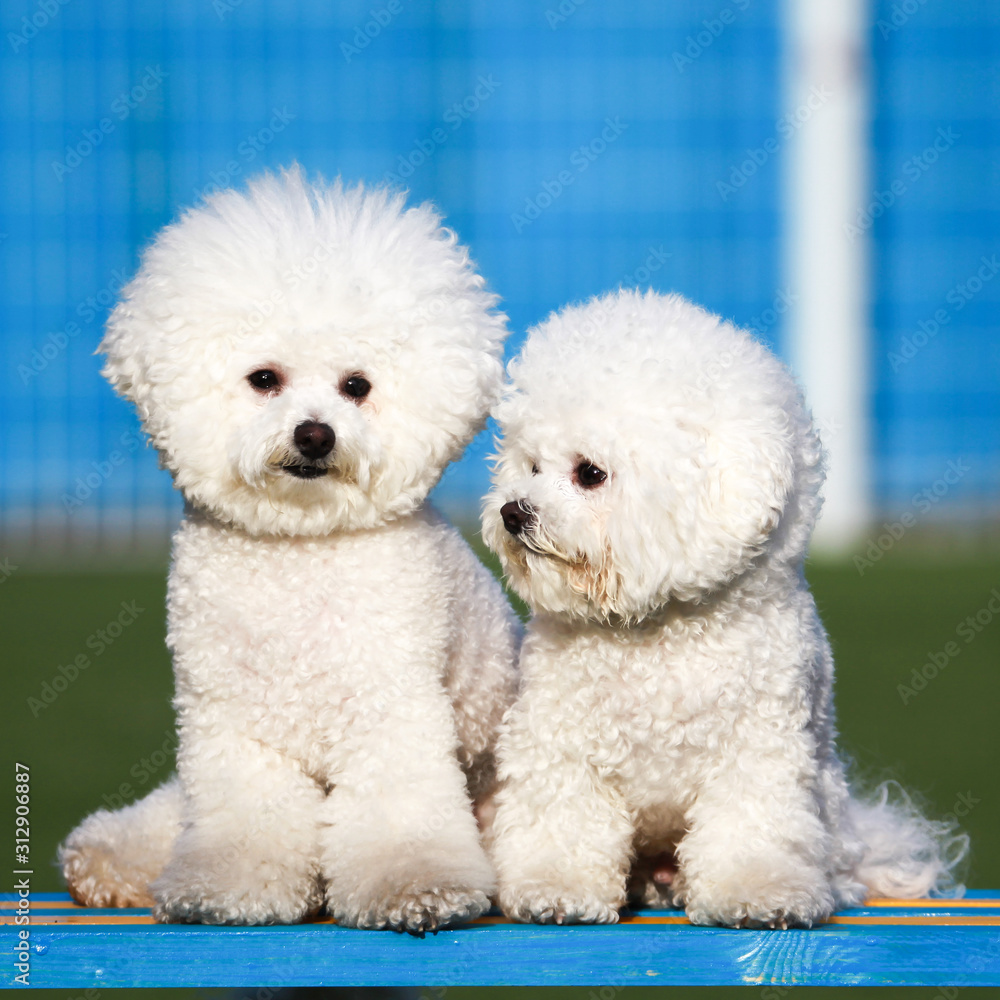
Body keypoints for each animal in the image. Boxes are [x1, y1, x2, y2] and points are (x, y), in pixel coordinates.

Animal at [58, 168, 520, 932]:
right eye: (264, 379)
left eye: (356, 386)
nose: (314, 434)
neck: (300, 550)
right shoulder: (232, 726)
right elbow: (245, 822)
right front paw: (229, 886)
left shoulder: (391, 710)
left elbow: (400, 820)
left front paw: (415, 886)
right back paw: (109, 860)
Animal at [484, 290, 968, 928]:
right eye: (531, 465)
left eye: (589, 473)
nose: (512, 512)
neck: (657, 631)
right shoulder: (557, 737)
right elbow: (561, 815)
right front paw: (554, 887)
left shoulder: (761, 746)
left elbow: (751, 825)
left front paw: (758, 893)